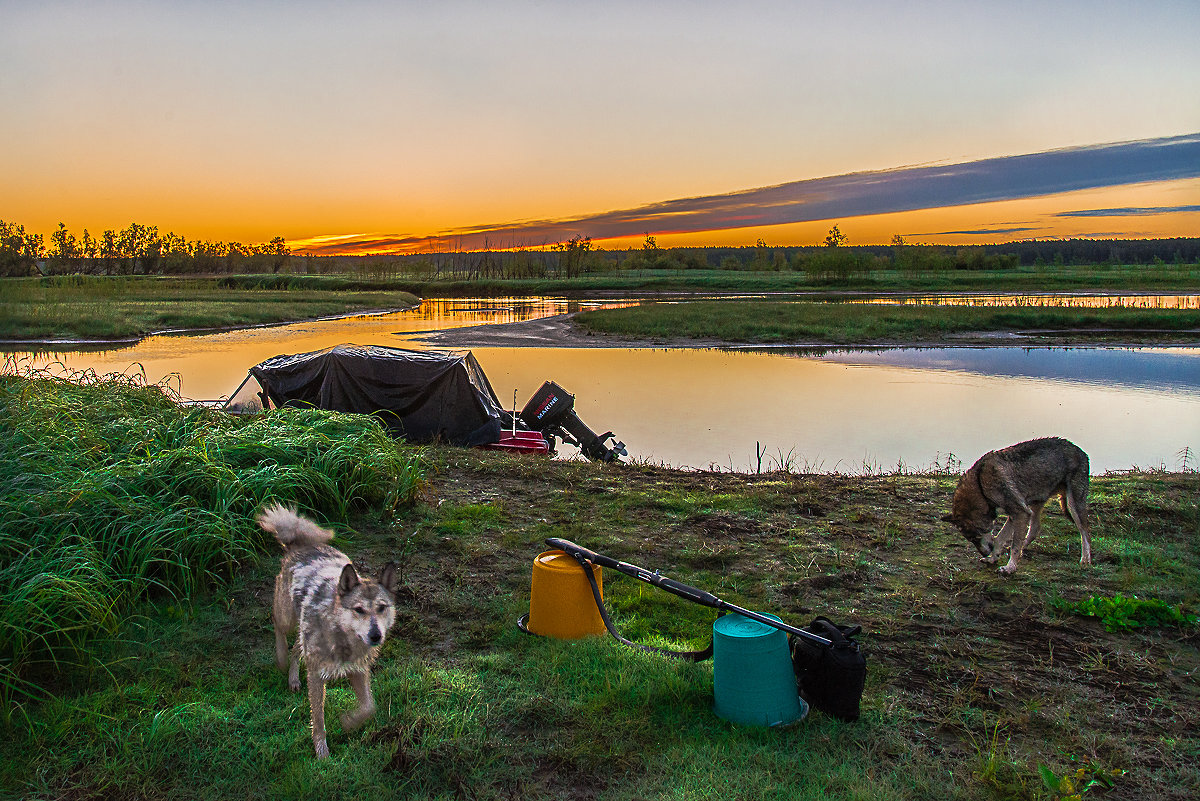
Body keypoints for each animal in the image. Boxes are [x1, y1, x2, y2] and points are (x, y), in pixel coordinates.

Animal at [258, 503, 398, 762]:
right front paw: (322, 754)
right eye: (359, 609)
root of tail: (300, 544)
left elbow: (369, 708)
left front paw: (348, 722)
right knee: (278, 628)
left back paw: (293, 680)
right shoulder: (316, 676)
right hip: (287, 617)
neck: (343, 639)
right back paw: (281, 660)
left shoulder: (358, 671)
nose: (376, 635)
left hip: (301, 630)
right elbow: (319, 721)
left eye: (382, 608)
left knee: (296, 648)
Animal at [940, 438, 1094, 575]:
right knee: (1035, 529)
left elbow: (1013, 545)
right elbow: (1000, 539)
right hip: (1034, 505)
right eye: (970, 539)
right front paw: (993, 558)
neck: (981, 485)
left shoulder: (1020, 513)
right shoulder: (1015, 514)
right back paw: (1023, 548)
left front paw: (1010, 568)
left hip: (1072, 506)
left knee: (1085, 532)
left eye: (975, 538)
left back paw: (1086, 560)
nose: (984, 553)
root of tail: (1082, 451)